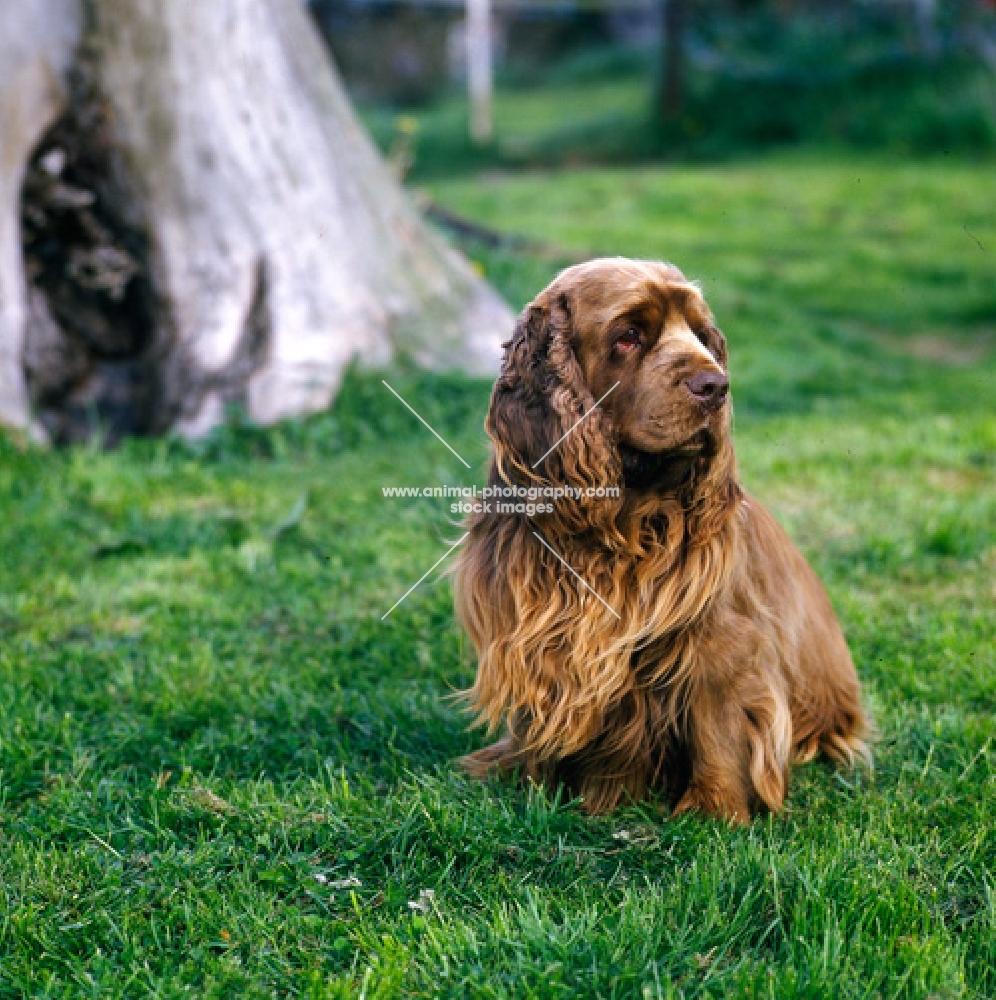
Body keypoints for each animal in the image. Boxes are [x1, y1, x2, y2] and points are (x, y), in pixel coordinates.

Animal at [456, 258, 868, 820]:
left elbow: (716, 724)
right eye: (629, 336)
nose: (716, 386)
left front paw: (716, 812)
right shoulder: (530, 620)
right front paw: (530, 784)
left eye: (699, 334)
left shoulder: (721, 638)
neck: (623, 517)